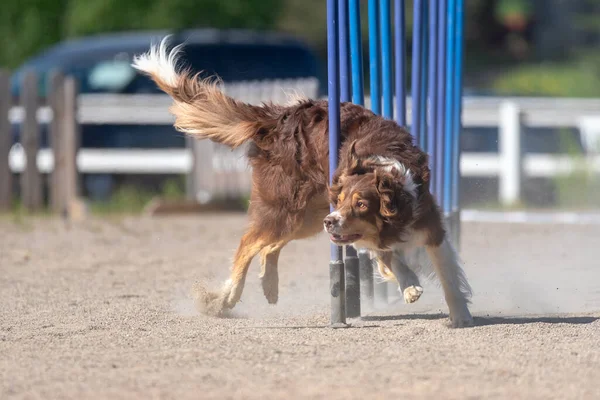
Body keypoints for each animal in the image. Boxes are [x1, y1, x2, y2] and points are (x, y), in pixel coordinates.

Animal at [132, 37, 474, 326]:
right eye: (347, 201)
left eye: (362, 204)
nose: (333, 221)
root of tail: (279, 117)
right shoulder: (362, 232)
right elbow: (390, 258)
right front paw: (409, 285)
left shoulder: (427, 225)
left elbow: (445, 272)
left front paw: (460, 315)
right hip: (290, 207)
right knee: (249, 243)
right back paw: (225, 299)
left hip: (308, 215)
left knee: (269, 247)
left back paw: (269, 286)